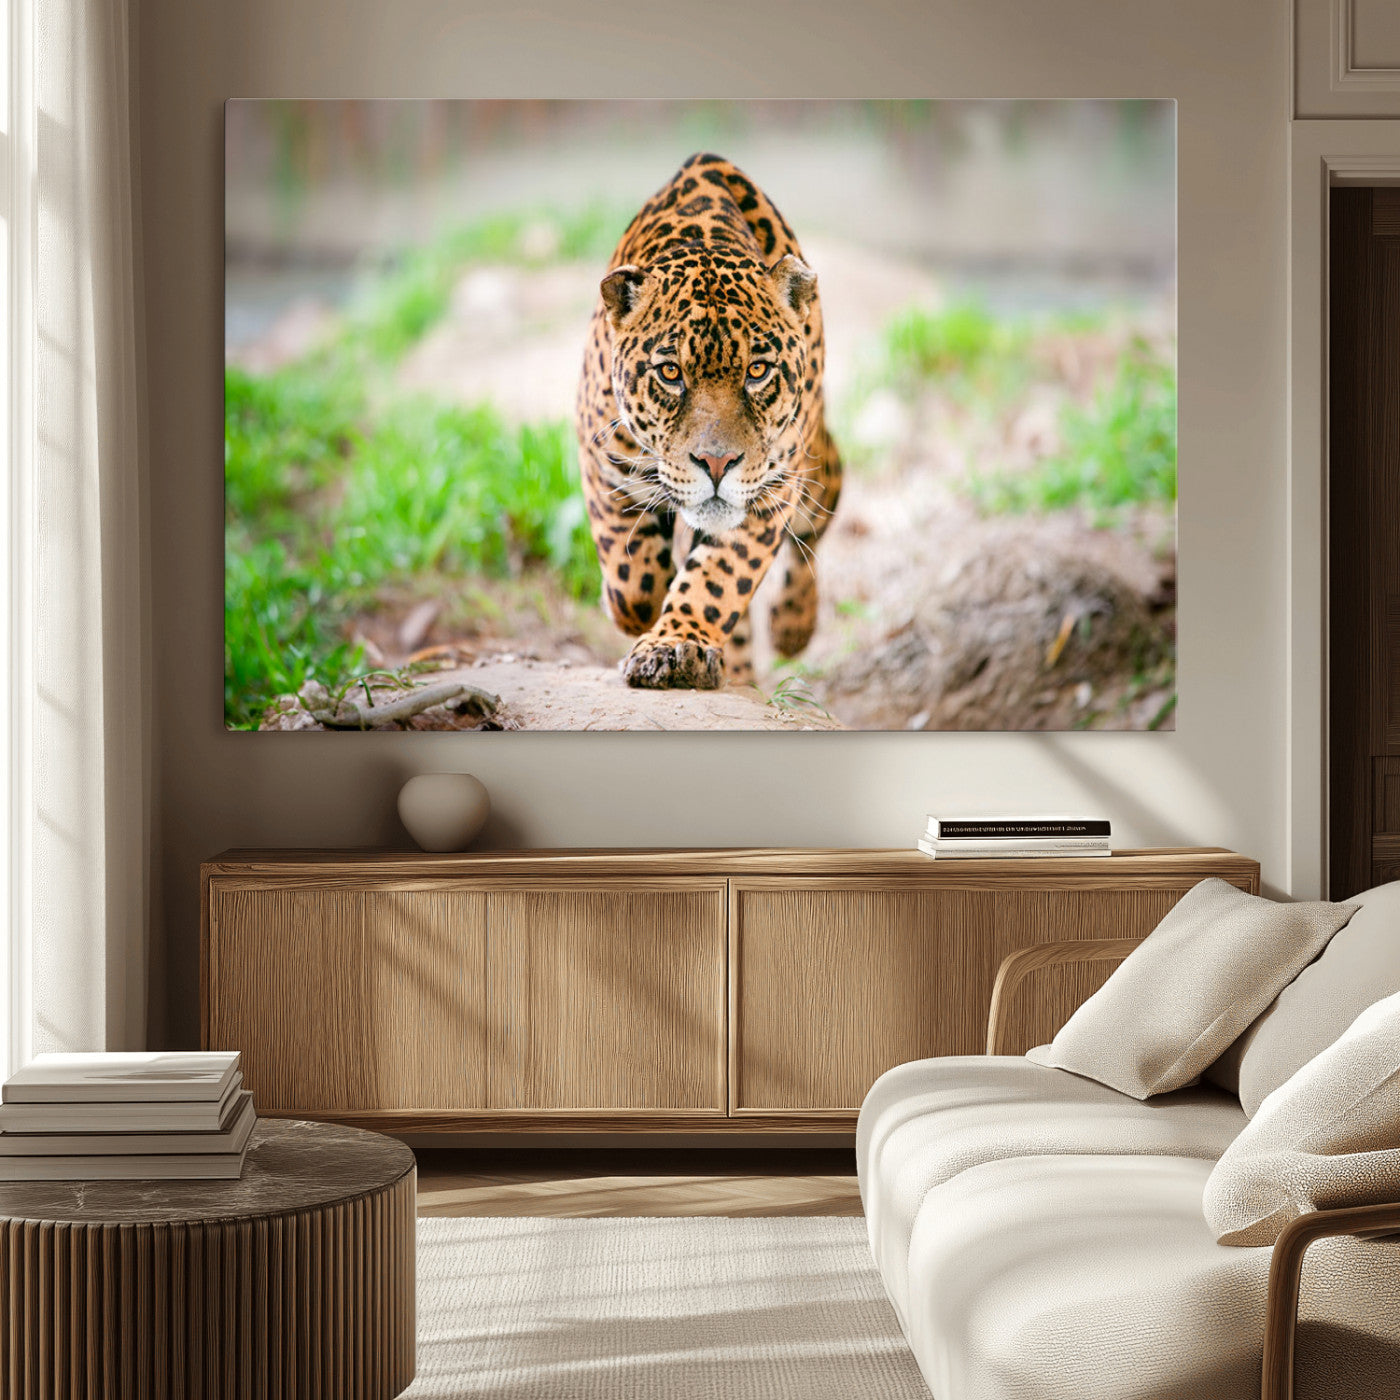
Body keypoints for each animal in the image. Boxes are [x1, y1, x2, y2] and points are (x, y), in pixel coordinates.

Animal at [575, 153, 842, 690]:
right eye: (670, 373)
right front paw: (636, 611)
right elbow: (632, 579)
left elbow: (717, 579)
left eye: (757, 371)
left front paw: (676, 645)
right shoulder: (601, 459)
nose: (717, 464)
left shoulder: (770, 491)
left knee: (817, 520)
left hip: (815, 469)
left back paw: (792, 627)